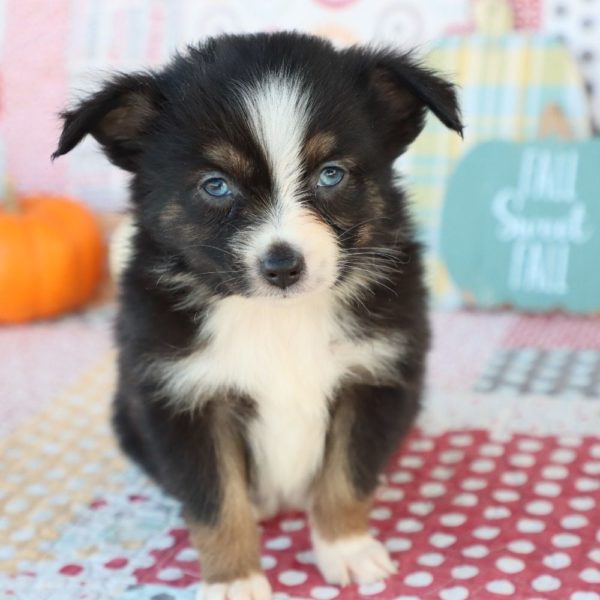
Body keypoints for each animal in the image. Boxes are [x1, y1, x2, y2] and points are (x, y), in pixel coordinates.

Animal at [54, 31, 462, 600]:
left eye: (331, 174)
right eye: (216, 185)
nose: (283, 266)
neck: (277, 319)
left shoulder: (376, 376)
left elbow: (348, 473)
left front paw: (346, 548)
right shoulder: (181, 396)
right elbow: (214, 500)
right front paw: (234, 578)